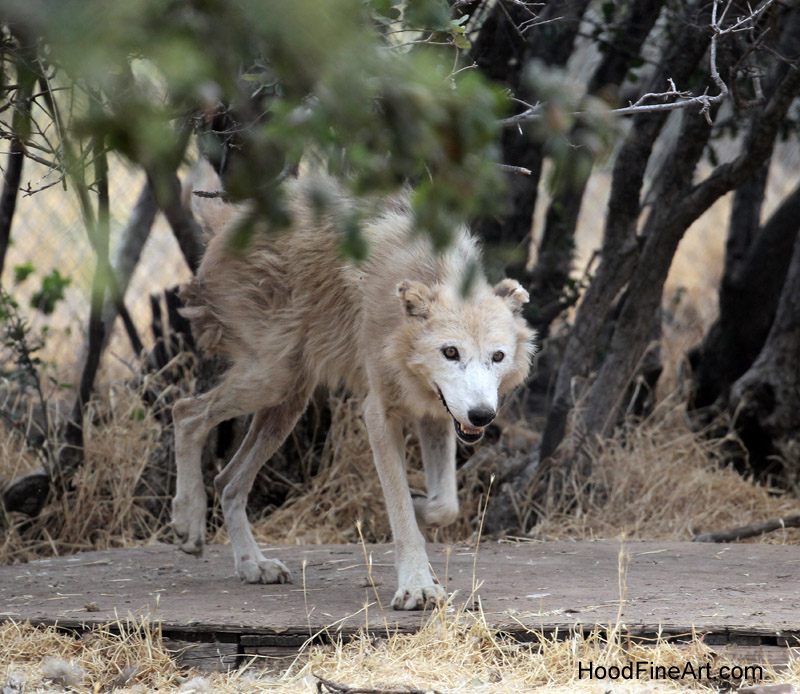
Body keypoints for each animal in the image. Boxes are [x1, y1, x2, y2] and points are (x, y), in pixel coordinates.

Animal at [171, 174, 536, 610]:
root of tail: (229, 219)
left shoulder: (437, 413)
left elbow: (444, 506)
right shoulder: (379, 415)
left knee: (227, 480)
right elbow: (400, 510)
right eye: (450, 352)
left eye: (497, 356)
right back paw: (188, 522)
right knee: (186, 412)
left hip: (288, 400)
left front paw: (421, 507)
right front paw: (417, 586)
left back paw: (253, 565)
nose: (482, 415)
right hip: (273, 378)